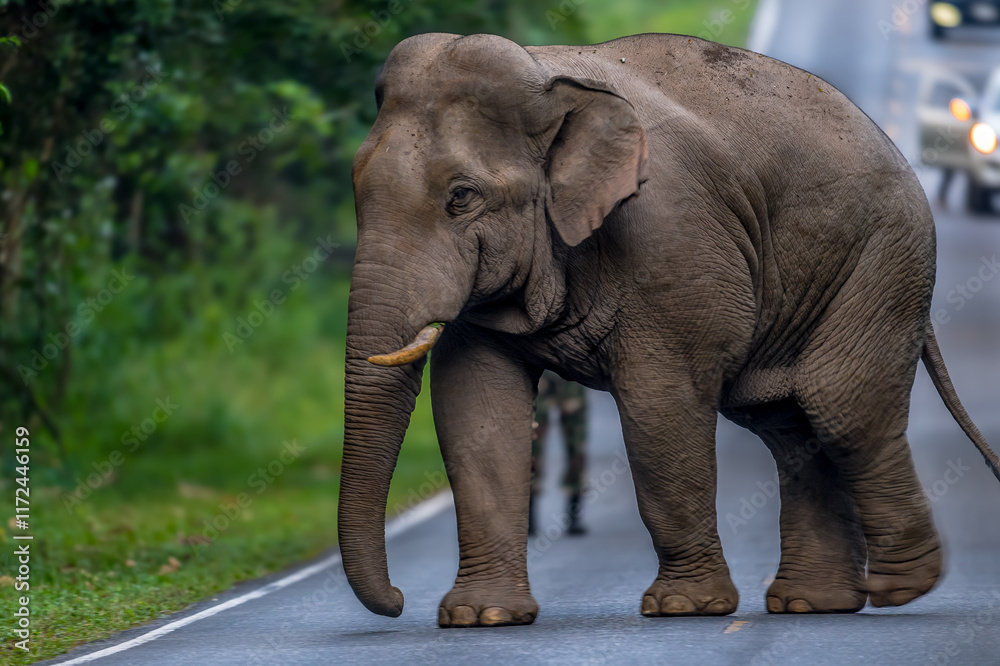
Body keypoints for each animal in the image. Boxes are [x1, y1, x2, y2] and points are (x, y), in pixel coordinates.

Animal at [338, 32, 1000, 627]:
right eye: (355, 185)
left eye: (461, 197)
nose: (397, 601)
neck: (548, 82)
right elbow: (476, 410)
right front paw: (481, 617)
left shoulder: (668, 238)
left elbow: (661, 405)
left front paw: (685, 608)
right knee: (788, 425)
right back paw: (813, 603)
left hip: (881, 259)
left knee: (840, 408)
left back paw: (900, 590)